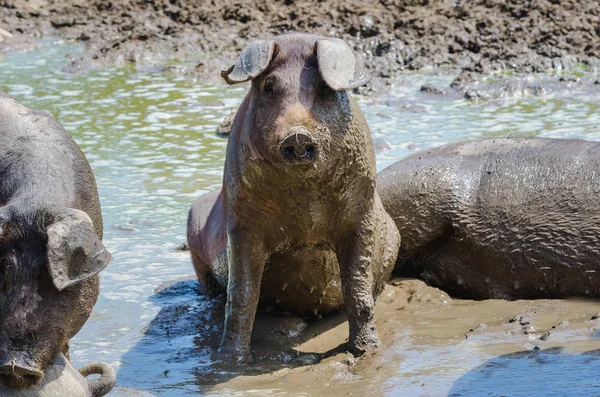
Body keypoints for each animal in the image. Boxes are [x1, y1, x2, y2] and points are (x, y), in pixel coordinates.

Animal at [188, 34, 400, 362]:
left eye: (324, 88)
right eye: (269, 86)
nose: (298, 135)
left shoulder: (361, 216)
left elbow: (358, 287)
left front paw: (367, 352)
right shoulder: (242, 225)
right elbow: (243, 293)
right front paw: (230, 362)